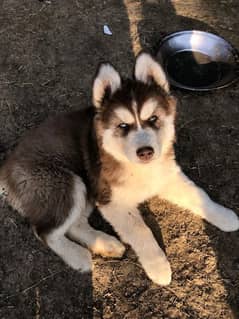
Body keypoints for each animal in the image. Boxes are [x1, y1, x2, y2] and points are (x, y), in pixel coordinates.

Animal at [0, 53, 238, 286]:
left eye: (153, 119)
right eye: (123, 126)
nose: (146, 152)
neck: (137, 167)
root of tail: (7, 165)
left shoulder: (167, 176)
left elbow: (199, 194)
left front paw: (225, 216)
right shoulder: (113, 202)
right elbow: (141, 231)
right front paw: (159, 268)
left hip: (88, 190)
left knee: (75, 224)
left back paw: (106, 244)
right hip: (67, 183)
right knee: (45, 232)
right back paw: (78, 257)